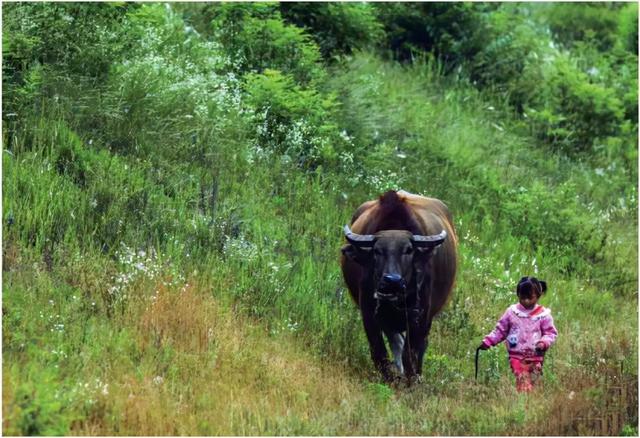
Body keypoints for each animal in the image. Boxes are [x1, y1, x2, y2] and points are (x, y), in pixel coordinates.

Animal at [340, 190, 456, 382]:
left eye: (408, 250)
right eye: (377, 251)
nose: (392, 280)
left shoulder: (420, 316)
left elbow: (411, 353)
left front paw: (411, 379)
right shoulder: (369, 313)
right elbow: (379, 351)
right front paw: (391, 378)